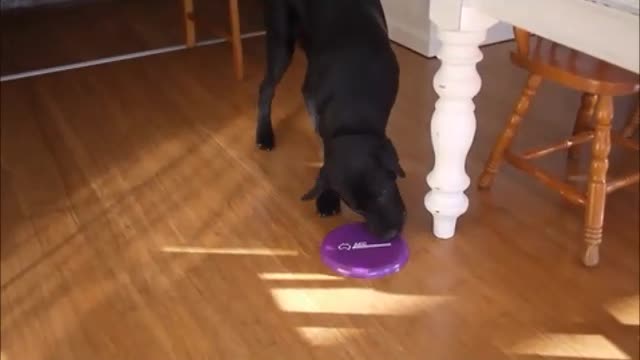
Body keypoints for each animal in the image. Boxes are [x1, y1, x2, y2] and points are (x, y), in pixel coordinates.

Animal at [255, 0, 404, 242]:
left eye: (383, 192)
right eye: (357, 208)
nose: (388, 235)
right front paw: (327, 197)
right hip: (280, 40)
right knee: (266, 88)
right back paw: (264, 134)